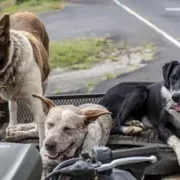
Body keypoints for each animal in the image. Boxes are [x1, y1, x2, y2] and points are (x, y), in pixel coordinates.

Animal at [0, 12, 49, 148]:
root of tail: (26, 12)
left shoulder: (36, 102)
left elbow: (41, 132)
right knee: (13, 107)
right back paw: (13, 129)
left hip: (44, 81)